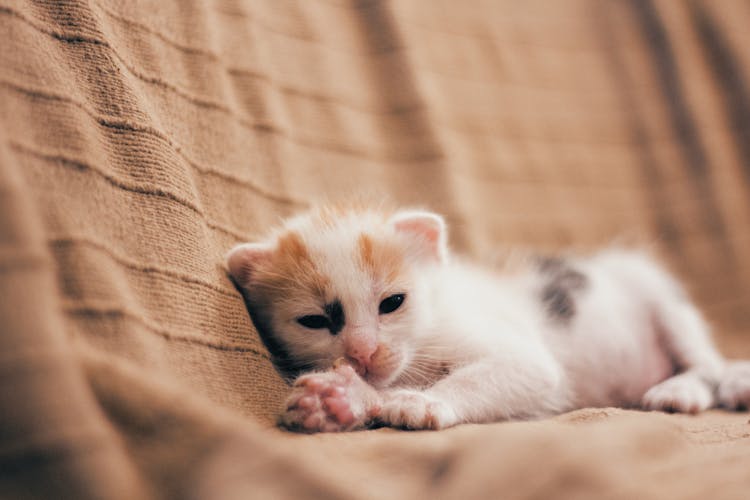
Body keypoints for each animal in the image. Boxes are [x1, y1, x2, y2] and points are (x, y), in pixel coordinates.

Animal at [226, 205, 750, 432]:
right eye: (314, 321)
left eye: (392, 303)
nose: (363, 352)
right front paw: (341, 400)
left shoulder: (523, 360)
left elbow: (505, 372)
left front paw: (423, 402)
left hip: (664, 299)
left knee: (707, 364)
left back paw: (685, 389)